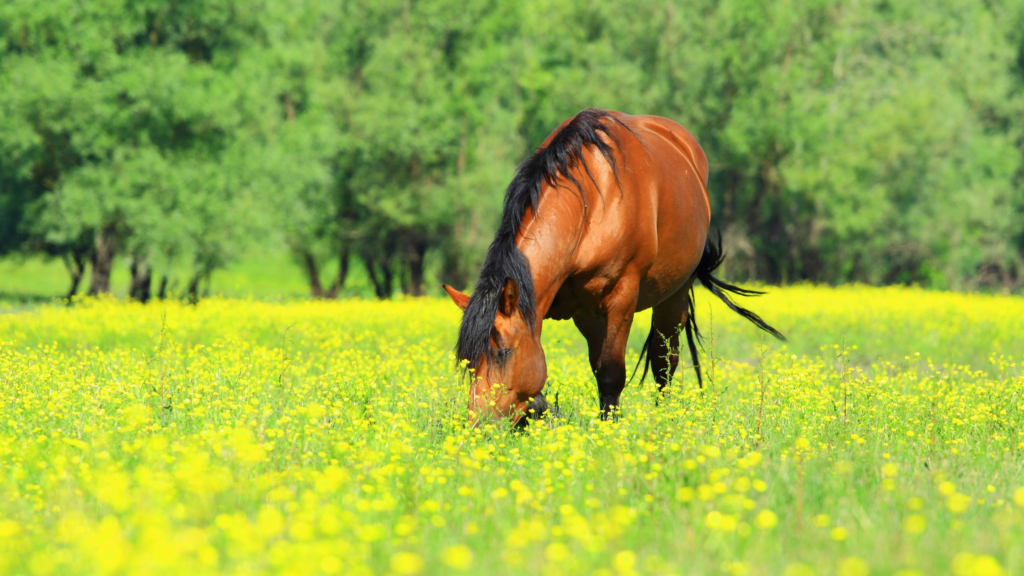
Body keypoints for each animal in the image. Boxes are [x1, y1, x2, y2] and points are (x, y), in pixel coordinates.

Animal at [442, 108, 782, 422]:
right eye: (468, 361)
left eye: (502, 352)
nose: (478, 424)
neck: (591, 207)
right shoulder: (582, 311)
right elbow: (585, 374)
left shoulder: (621, 299)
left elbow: (611, 374)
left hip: (674, 294)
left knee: (664, 362)